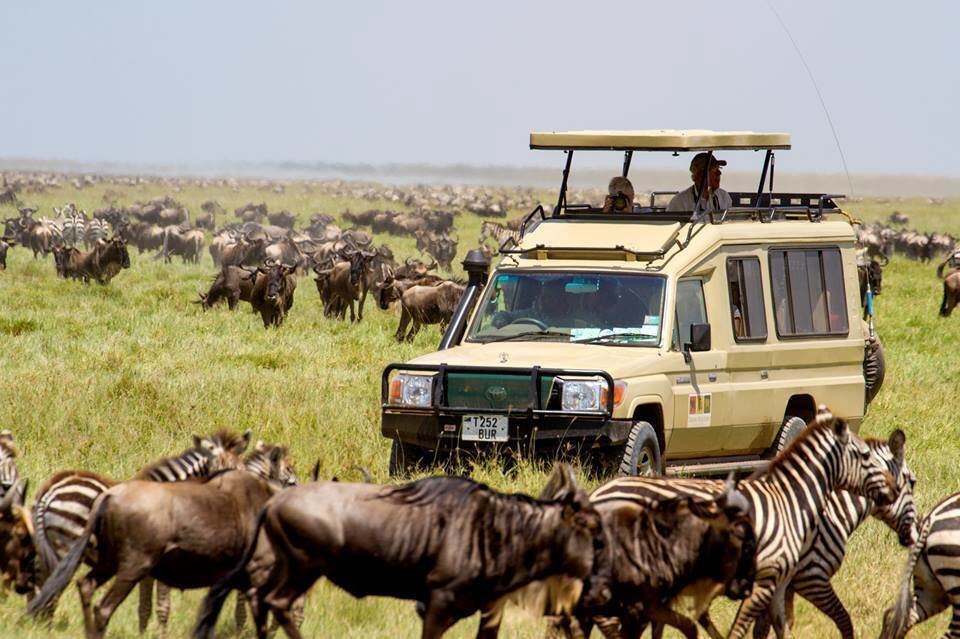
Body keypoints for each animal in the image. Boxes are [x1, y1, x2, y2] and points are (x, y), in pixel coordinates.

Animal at [31, 428, 251, 624]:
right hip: (67, 544)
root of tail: (50, 488)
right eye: (225, 472)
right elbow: (161, 605)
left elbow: (145, 607)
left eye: (243, 470)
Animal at [584, 410, 908, 639]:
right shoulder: (809, 576)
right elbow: (835, 620)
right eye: (911, 482)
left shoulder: (781, 581)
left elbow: (772, 625)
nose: (914, 534)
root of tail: (598, 494)